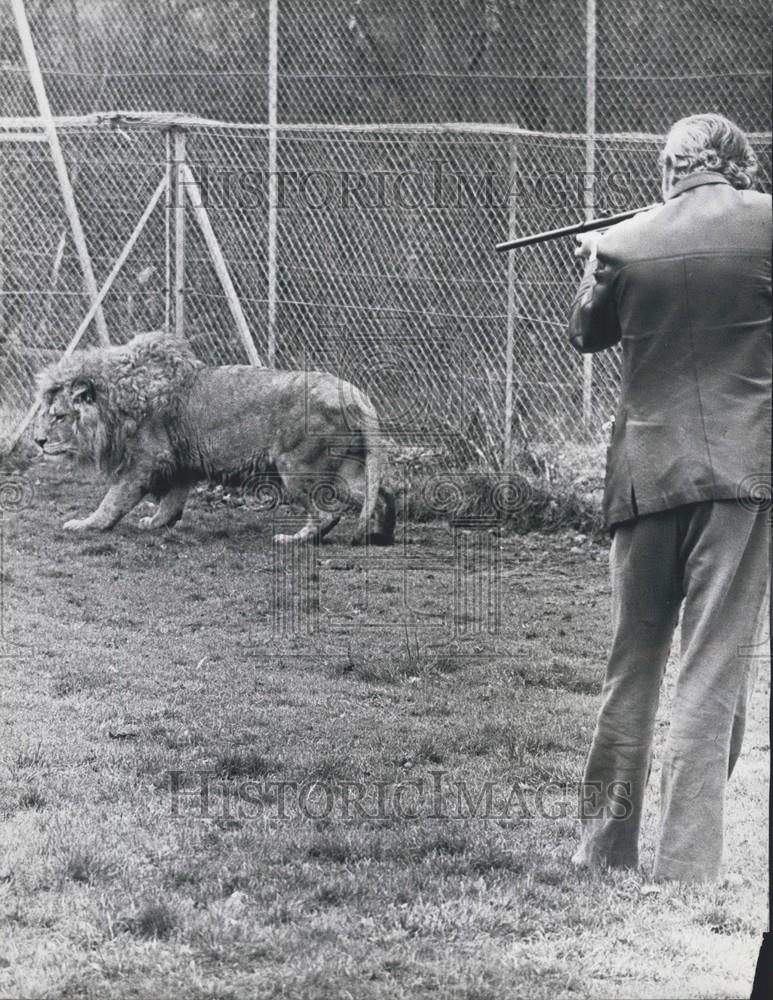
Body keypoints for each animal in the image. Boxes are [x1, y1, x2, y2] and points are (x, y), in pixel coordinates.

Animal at [34, 332, 396, 545]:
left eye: (58, 417)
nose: (38, 441)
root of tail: (357, 396)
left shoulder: (145, 462)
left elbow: (113, 501)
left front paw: (86, 525)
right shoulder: (180, 463)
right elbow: (172, 503)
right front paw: (155, 523)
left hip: (297, 467)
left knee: (328, 512)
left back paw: (293, 539)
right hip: (346, 466)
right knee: (380, 494)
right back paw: (380, 535)